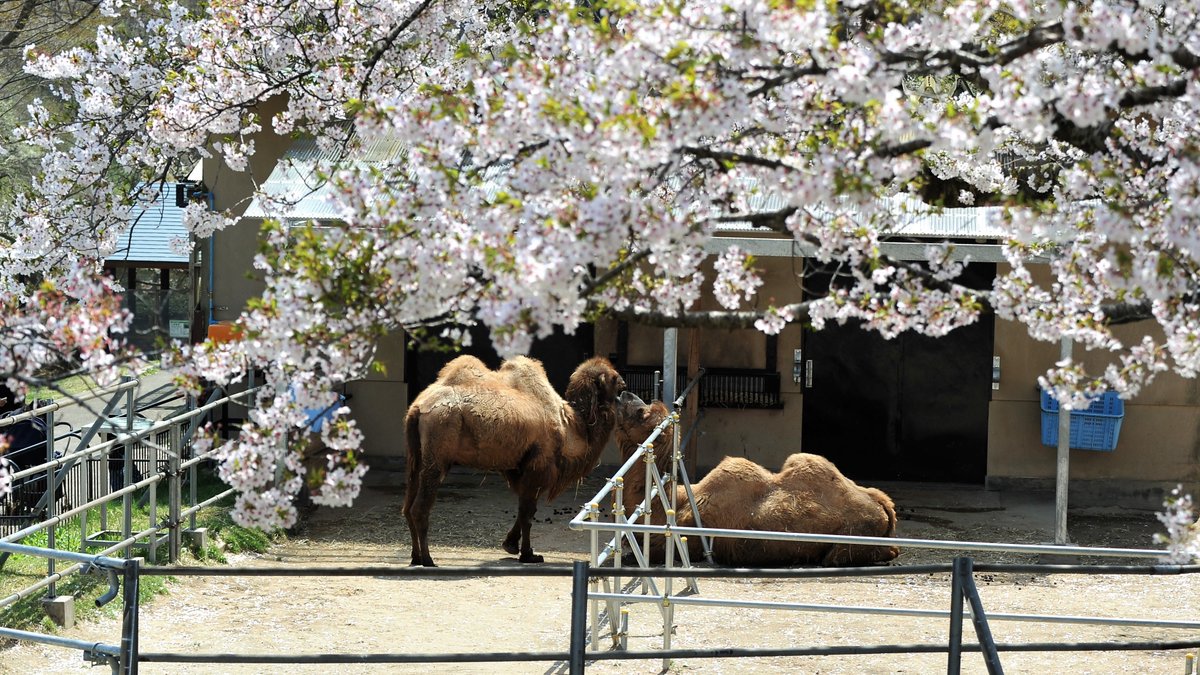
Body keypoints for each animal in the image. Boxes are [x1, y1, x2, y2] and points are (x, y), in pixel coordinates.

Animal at [405, 355, 628, 564]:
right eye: (614, 377)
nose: (625, 384)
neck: (570, 426)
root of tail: (418, 407)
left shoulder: (520, 468)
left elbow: (524, 510)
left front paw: (510, 545)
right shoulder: (539, 466)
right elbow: (528, 513)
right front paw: (529, 554)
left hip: (416, 458)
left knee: (407, 508)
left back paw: (415, 557)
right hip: (437, 454)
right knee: (419, 508)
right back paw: (427, 560)